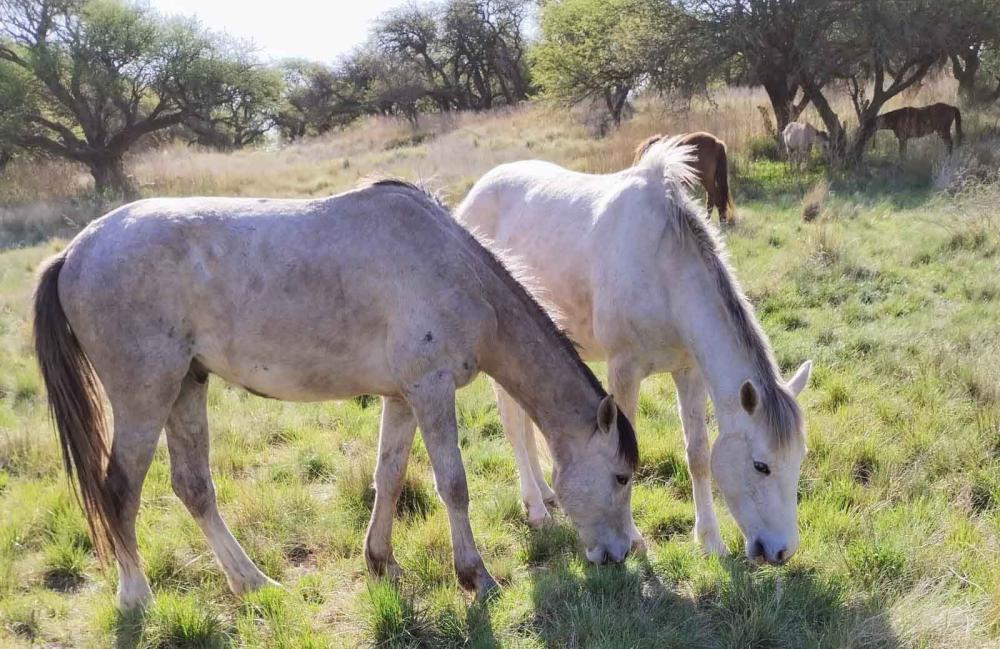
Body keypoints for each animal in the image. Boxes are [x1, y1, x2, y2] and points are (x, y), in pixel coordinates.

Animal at [37, 178, 640, 608]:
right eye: (620, 477)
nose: (618, 554)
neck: (456, 271)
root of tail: (76, 251)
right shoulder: (431, 389)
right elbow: (453, 485)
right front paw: (476, 577)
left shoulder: (402, 397)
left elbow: (389, 476)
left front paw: (382, 562)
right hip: (145, 395)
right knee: (118, 492)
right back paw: (136, 597)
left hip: (187, 385)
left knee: (193, 488)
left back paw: (253, 583)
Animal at [458, 139, 812, 564]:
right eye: (761, 466)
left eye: (798, 459)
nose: (782, 551)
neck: (664, 266)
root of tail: (475, 193)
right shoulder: (623, 370)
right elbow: (623, 454)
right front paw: (635, 539)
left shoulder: (688, 371)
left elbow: (698, 455)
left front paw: (710, 541)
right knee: (513, 424)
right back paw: (536, 507)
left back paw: (544, 493)